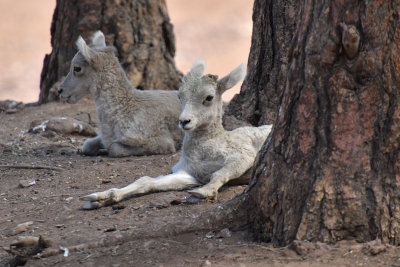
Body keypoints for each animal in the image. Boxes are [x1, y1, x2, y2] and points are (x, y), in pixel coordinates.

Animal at [82, 59, 274, 210]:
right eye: (180, 96)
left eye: (209, 97)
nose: (184, 121)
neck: (205, 150)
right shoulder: (188, 174)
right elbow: (146, 181)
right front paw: (98, 198)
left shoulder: (243, 156)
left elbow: (219, 174)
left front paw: (203, 192)